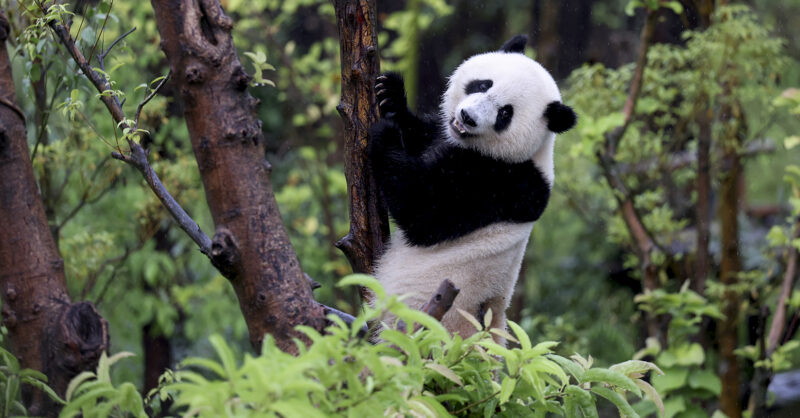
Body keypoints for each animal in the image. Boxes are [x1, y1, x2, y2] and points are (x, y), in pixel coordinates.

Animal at [368, 35, 576, 339]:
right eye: (483, 84)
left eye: (505, 113)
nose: (467, 117)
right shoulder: (445, 137)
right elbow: (423, 135)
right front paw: (391, 96)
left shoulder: (504, 183)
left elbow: (425, 212)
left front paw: (385, 134)